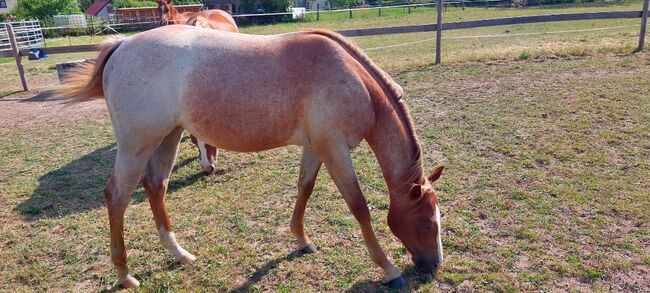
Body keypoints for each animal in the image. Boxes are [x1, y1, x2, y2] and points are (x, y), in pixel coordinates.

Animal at [55, 25, 442, 290]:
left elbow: (304, 188)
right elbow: (358, 206)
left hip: (168, 137)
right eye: (426, 223)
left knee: (155, 186)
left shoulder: (316, 147)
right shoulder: (335, 148)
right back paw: (124, 274)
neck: (352, 79)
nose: (434, 265)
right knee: (117, 196)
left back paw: (179, 254)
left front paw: (301, 240)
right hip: (137, 144)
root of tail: (122, 46)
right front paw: (389, 269)